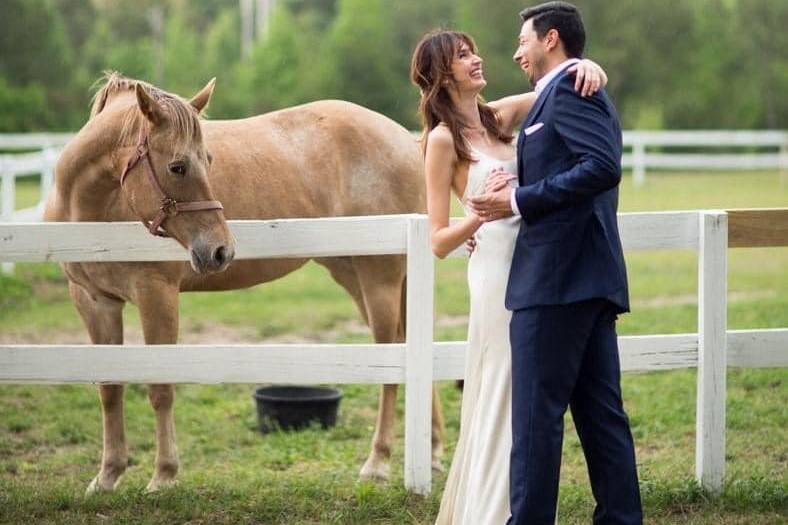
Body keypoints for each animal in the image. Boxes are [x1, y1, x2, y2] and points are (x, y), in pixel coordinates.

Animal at [44, 72, 444, 492]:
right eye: (178, 167)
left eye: (208, 160)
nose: (221, 250)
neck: (93, 212)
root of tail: (405, 139)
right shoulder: (94, 301)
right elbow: (109, 388)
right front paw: (107, 476)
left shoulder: (157, 294)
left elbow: (160, 388)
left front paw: (163, 475)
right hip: (354, 276)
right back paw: (432, 453)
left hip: (379, 276)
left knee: (392, 358)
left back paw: (377, 463)